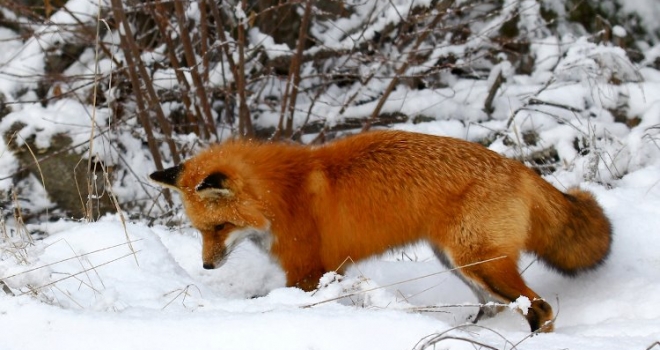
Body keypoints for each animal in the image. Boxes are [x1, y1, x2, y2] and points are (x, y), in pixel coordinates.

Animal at [148, 130, 608, 332]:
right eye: (199, 231)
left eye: (220, 226)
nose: (206, 268)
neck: (283, 196)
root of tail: (518, 166)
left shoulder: (307, 272)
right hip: (458, 262)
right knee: (493, 308)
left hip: (478, 261)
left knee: (540, 309)